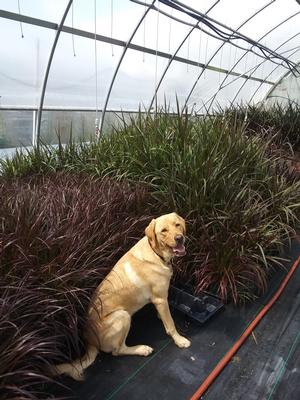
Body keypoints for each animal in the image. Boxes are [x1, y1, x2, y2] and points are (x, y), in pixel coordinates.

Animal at [53, 211, 190, 380]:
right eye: (163, 231)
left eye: (177, 225)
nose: (179, 238)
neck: (155, 253)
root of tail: (89, 342)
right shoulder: (160, 299)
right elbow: (170, 324)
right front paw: (180, 340)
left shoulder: (160, 300)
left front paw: (160, 317)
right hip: (122, 315)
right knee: (117, 351)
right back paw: (141, 349)